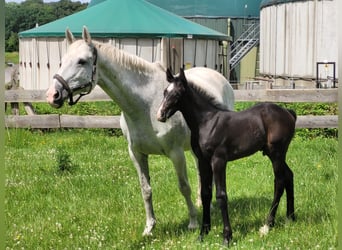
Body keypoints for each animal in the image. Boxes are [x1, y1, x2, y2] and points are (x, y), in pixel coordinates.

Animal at [46, 27, 235, 236]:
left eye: (82, 61)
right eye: (62, 61)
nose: (52, 95)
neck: (147, 104)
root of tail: (219, 77)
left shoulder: (176, 153)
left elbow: (183, 186)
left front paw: (193, 222)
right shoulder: (136, 153)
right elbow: (146, 189)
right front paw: (149, 227)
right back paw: (203, 204)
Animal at [156, 68, 296, 244]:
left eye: (178, 93)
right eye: (165, 92)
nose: (160, 114)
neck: (206, 122)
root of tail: (288, 113)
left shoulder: (218, 161)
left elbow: (221, 195)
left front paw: (227, 236)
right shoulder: (203, 161)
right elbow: (206, 194)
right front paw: (203, 233)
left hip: (277, 153)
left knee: (279, 182)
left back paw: (267, 225)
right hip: (274, 154)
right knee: (289, 175)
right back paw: (290, 218)